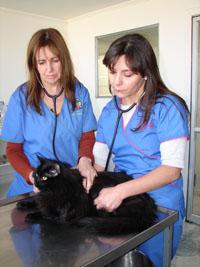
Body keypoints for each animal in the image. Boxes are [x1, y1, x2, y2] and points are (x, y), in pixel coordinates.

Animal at [16, 158, 158, 236]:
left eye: (44, 178)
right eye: (35, 175)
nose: (35, 182)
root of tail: (149, 208)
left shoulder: (62, 214)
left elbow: (45, 213)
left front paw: (31, 215)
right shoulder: (44, 199)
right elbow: (36, 201)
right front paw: (23, 204)